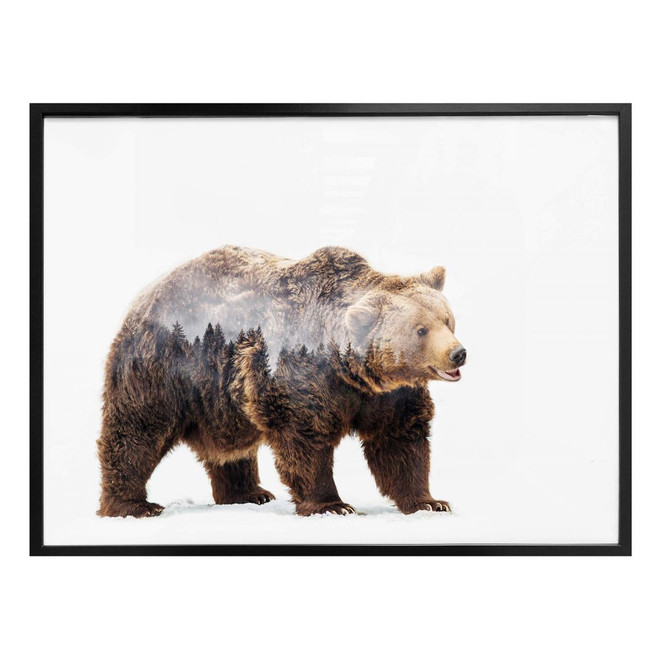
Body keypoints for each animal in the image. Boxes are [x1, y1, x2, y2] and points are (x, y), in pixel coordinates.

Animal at [96, 246, 466, 518]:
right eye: (421, 329)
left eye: (448, 320)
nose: (458, 354)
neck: (351, 370)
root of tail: (145, 294)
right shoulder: (299, 374)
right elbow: (304, 438)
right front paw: (332, 505)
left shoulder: (388, 395)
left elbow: (400, 441)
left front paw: (430, 501)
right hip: (164, 366)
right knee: (138, 430)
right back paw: (133, 505)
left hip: (220, 397)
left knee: (230, 449)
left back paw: (248, 493)